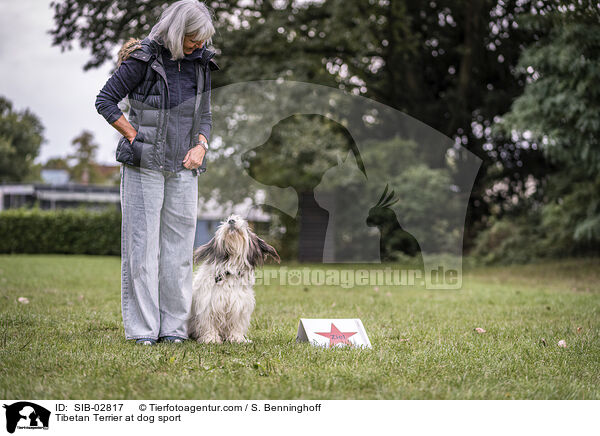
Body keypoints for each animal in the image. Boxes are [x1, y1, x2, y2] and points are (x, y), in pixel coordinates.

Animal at [189, 215, 280, 344]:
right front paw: (211, 339)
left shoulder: (239, 305)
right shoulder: (209, 305)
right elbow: (209, 323)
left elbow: (236, 324)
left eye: (246, 227)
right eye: (226, 221)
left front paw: (237, 338)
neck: (230, 270)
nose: (231, 220)